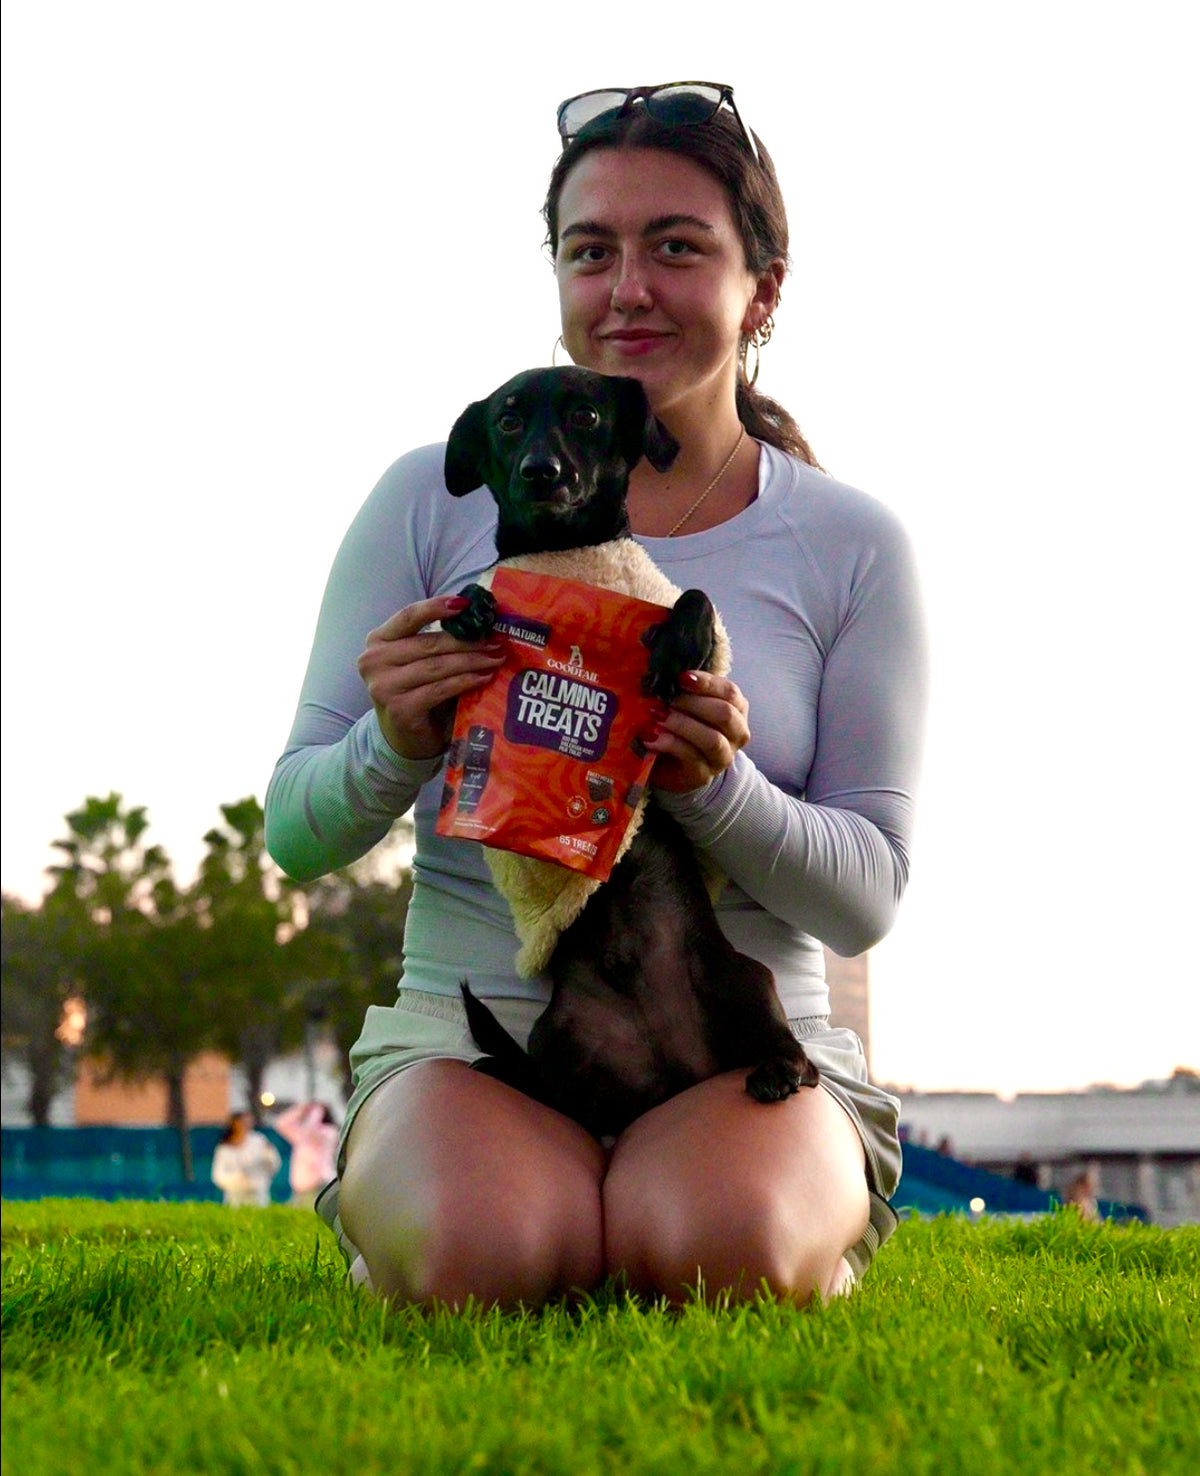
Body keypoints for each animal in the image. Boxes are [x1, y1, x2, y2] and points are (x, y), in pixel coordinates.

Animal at [441, 366, 818, 1139]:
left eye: (586, 415)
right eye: (507, 420)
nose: (542, 471)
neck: (569, 557)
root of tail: (674, 1072)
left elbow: (696, 599)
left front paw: (678, 639)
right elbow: (467, 606)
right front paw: (473, 610)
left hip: (748, 980)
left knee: (796, 1054)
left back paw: (778, 1068)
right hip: (557, 1036)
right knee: (561, 1097)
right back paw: (503, 1068)